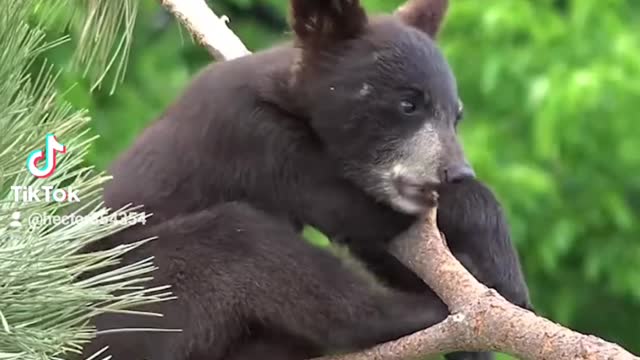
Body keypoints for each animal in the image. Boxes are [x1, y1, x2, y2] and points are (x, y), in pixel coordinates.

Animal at [82, 0, 532, 360]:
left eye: (456, 115)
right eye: (408, 103)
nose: (457, 172)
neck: (286, 99)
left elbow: (379, 247)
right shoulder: (255, 139)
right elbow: (352, 209)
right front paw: (504, 272)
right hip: (139, 300)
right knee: (243, 242)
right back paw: (430, 311)